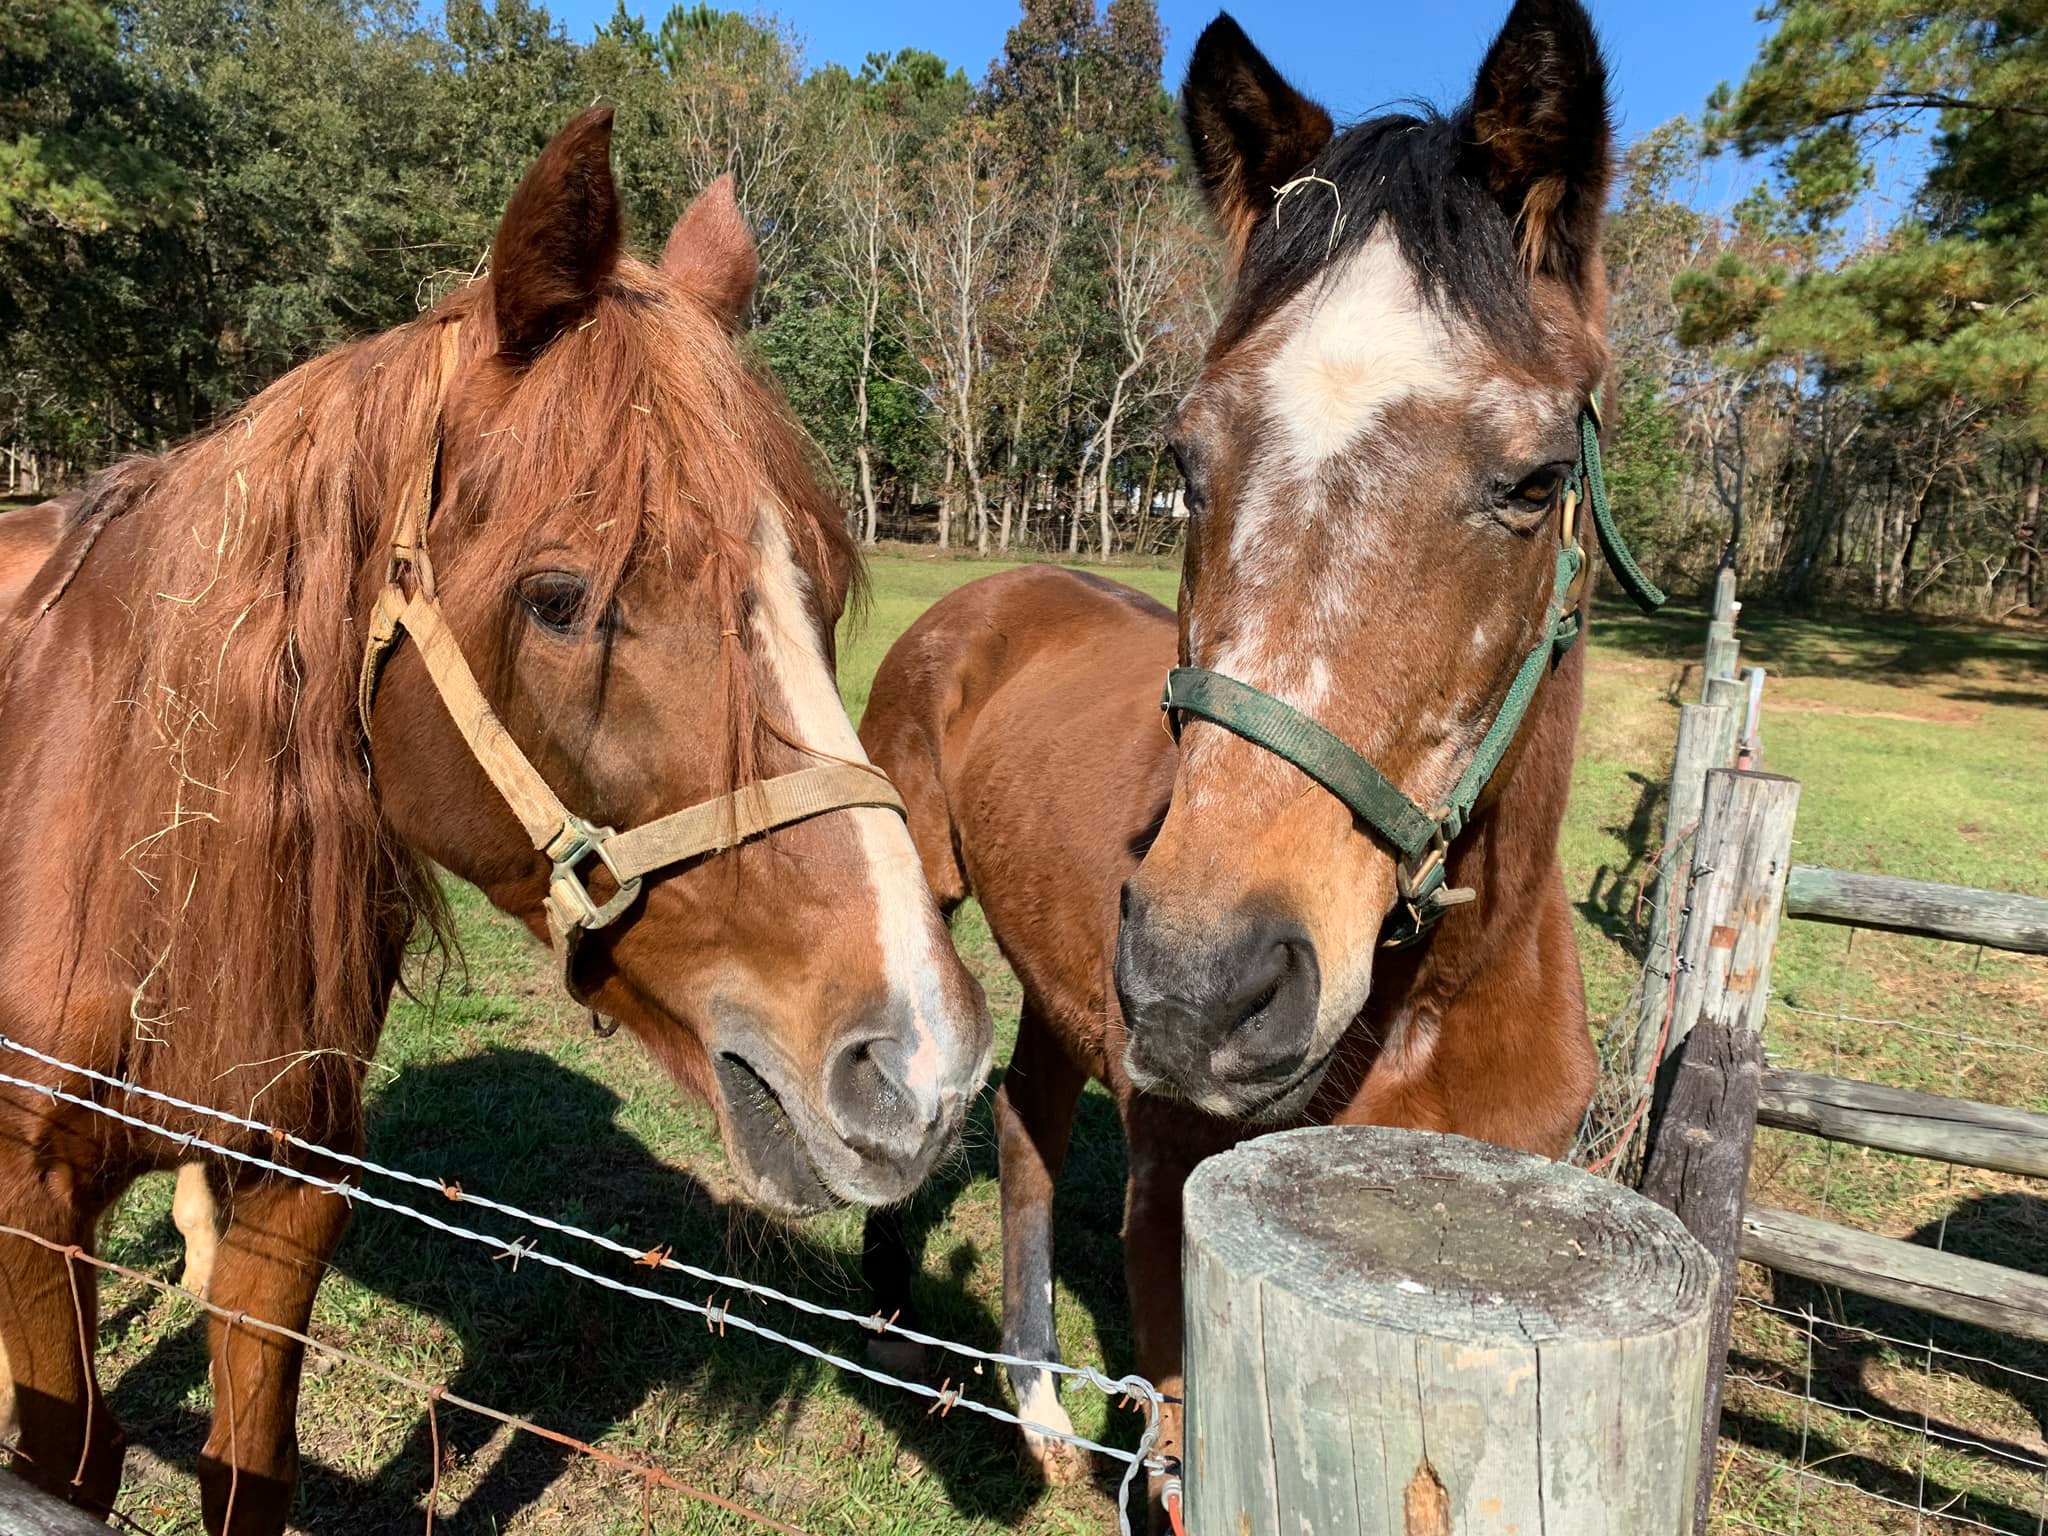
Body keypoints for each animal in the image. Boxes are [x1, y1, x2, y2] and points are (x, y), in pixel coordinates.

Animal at [0, 107, 990, 1533]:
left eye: (812, 588)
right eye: (561, 599)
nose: (922, 1069)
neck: (134, 847)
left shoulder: (296, 1189)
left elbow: (249, 1467)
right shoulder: (32, 1207)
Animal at [858, 0, 1645, 1494]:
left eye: (1534, 482)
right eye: (1186, 458)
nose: (1198, 990)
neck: (1431, 1007)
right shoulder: (1175, 1247)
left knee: (1027, 1127)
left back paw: (1035, 1407)